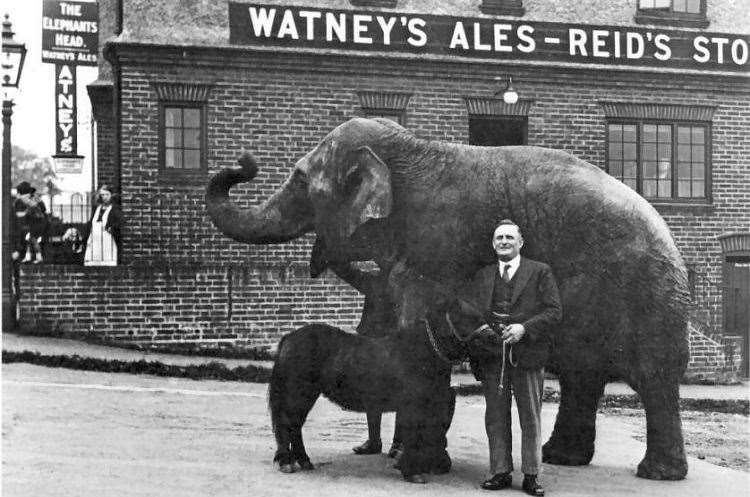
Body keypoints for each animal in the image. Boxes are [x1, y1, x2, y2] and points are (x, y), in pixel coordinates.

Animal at [203, 118, 692, 478]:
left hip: (648, 295)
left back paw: (657, 473)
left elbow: (417, 312)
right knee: (582, 373)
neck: (411, 149)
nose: (243, 162)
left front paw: (415, 460)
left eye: (301, 180)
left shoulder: (437, 245)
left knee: (653, 377)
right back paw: (563, 459)